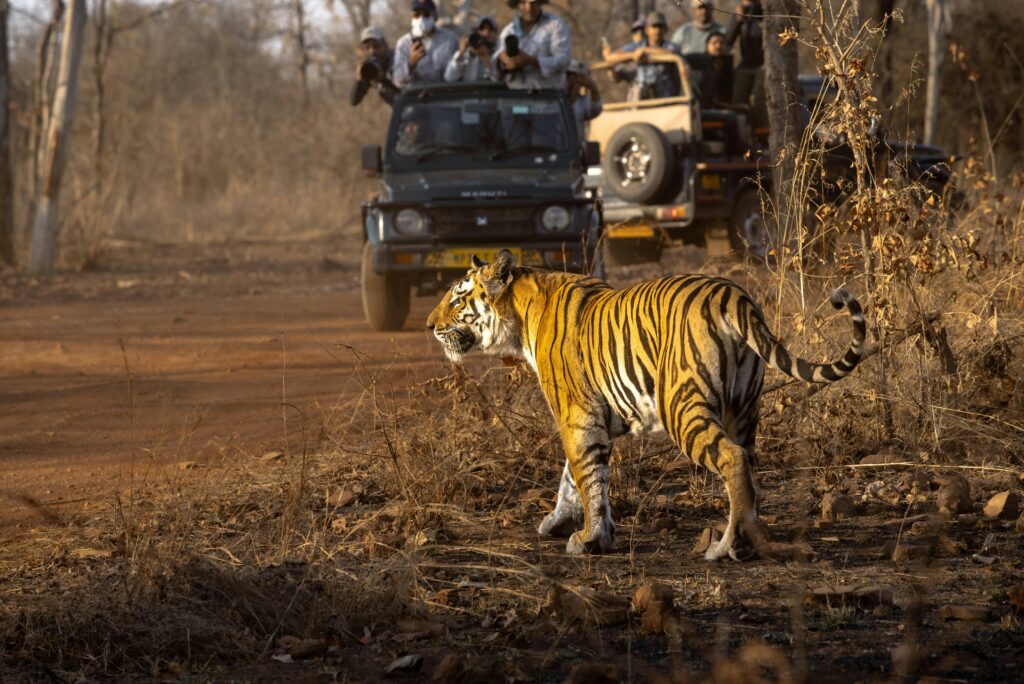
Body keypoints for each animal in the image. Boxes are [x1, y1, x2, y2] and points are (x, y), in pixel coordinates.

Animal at [426, 250, 865, 560]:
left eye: (458, 298)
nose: (430, 325)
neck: (519, 315)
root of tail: (734, 295)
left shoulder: (577, 416)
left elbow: (587, 476)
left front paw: (591, 538)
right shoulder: (596, 416)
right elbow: (572, 476)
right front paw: (558, 522)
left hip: (681, 406)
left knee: (732, 459)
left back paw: (728, 546)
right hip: (744, 408)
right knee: (748, 465)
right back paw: (748, 536)